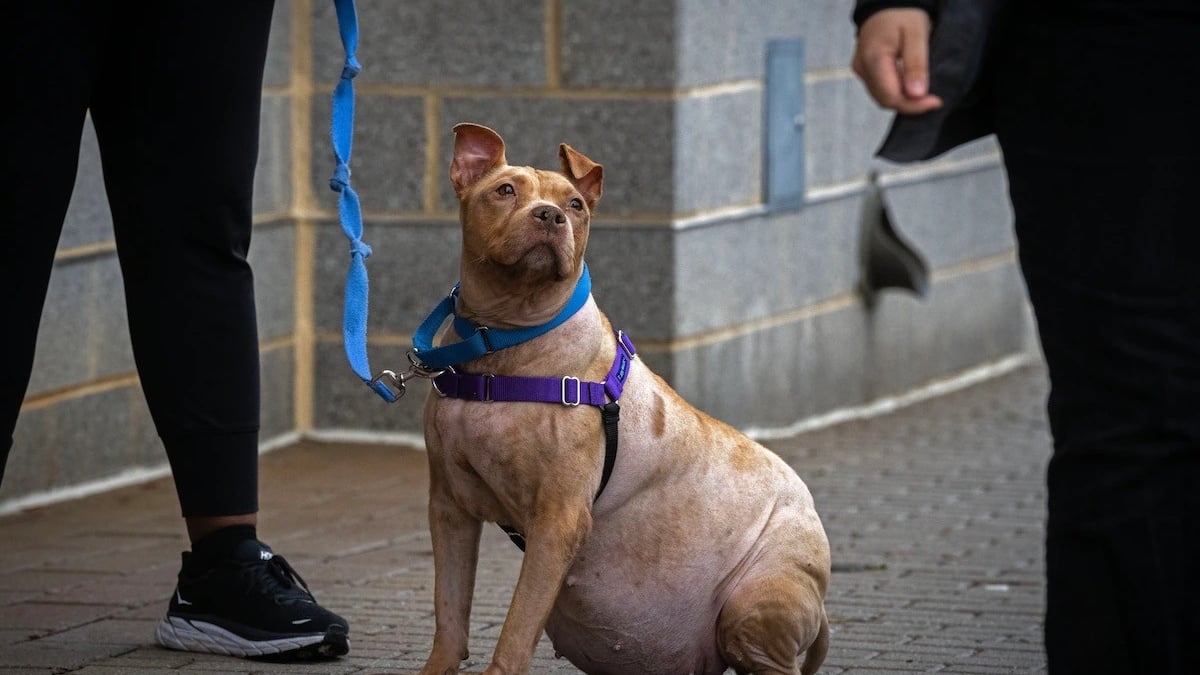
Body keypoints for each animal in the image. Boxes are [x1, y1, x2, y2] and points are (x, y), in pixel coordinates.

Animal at [417, 121, 830, 672]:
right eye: (504, 191)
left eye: (574, 204)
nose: (549, 215)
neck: (504, 347)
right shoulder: (450, 506)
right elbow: (449, 615)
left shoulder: (559, 520)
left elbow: (515, 633)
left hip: (757, 602)